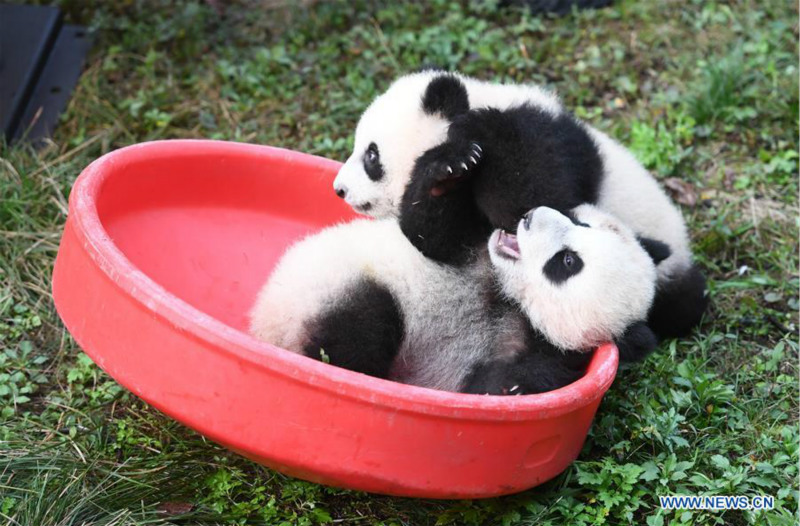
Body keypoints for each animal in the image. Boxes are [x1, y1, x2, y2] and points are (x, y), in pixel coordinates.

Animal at [249, 204, 665, 395]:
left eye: (567, 262)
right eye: (582, 222)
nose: (531, 215)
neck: (507, 300)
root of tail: (264, 331)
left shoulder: (549, 351)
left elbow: (495, 387)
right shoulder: (472, 249)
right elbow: (431, 231)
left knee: (358, 330)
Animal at [332, 70, 708, 340]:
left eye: (371, 155)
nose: (340, 189)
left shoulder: (547, 141)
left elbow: (534, 196)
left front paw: (471, 135)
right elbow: (434, 236)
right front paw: (446, 170)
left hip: (667, 264)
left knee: (684, 304)